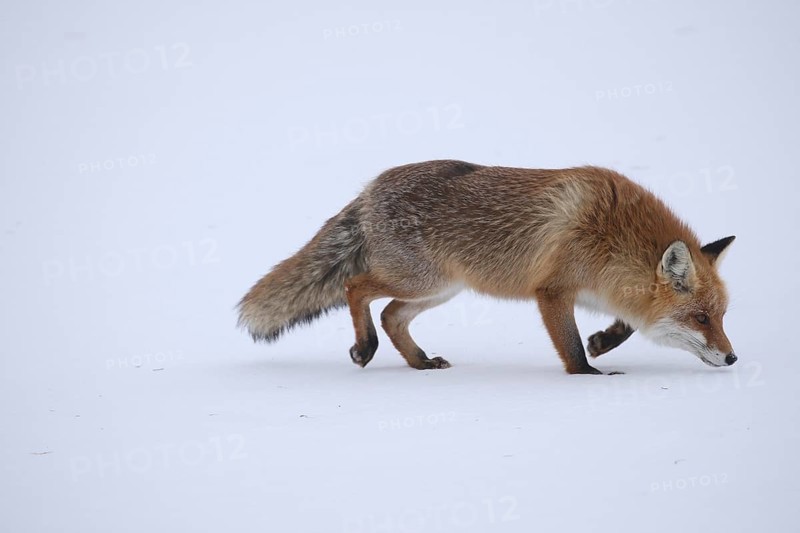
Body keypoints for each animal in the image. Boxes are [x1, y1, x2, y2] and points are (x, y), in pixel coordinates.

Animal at [237, 160, 737, 375]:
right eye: (701, 318)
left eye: (721, 316)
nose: (733, 357)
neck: (611, 233)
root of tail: (369, 188)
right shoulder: (552, 291)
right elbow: (570, 347)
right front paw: (588, 376)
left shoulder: (606, 290)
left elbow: (626, 325)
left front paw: (604, 341)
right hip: (420, 279)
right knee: (356, 288)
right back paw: (365, 348)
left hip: (439, 289)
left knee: (391, 314)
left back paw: (419, 362)